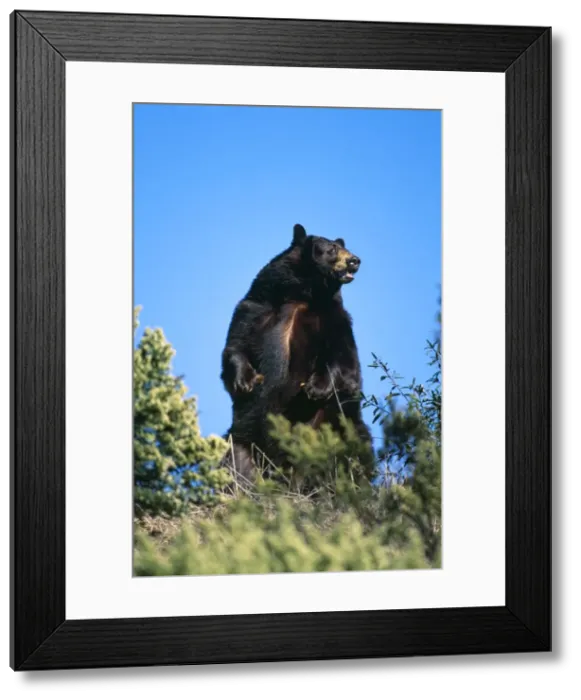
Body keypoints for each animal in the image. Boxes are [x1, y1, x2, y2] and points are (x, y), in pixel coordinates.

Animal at [219, 223, 373, 484]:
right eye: (332, 248)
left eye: (342, 246)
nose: (355, 260)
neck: (303, 295)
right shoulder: (254, 308)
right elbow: (235, 346)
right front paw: (245, 380)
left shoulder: (336, 320)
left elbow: (346, 363)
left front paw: (316, 387)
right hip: (242, 439)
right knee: (234, 462)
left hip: (337, 426)